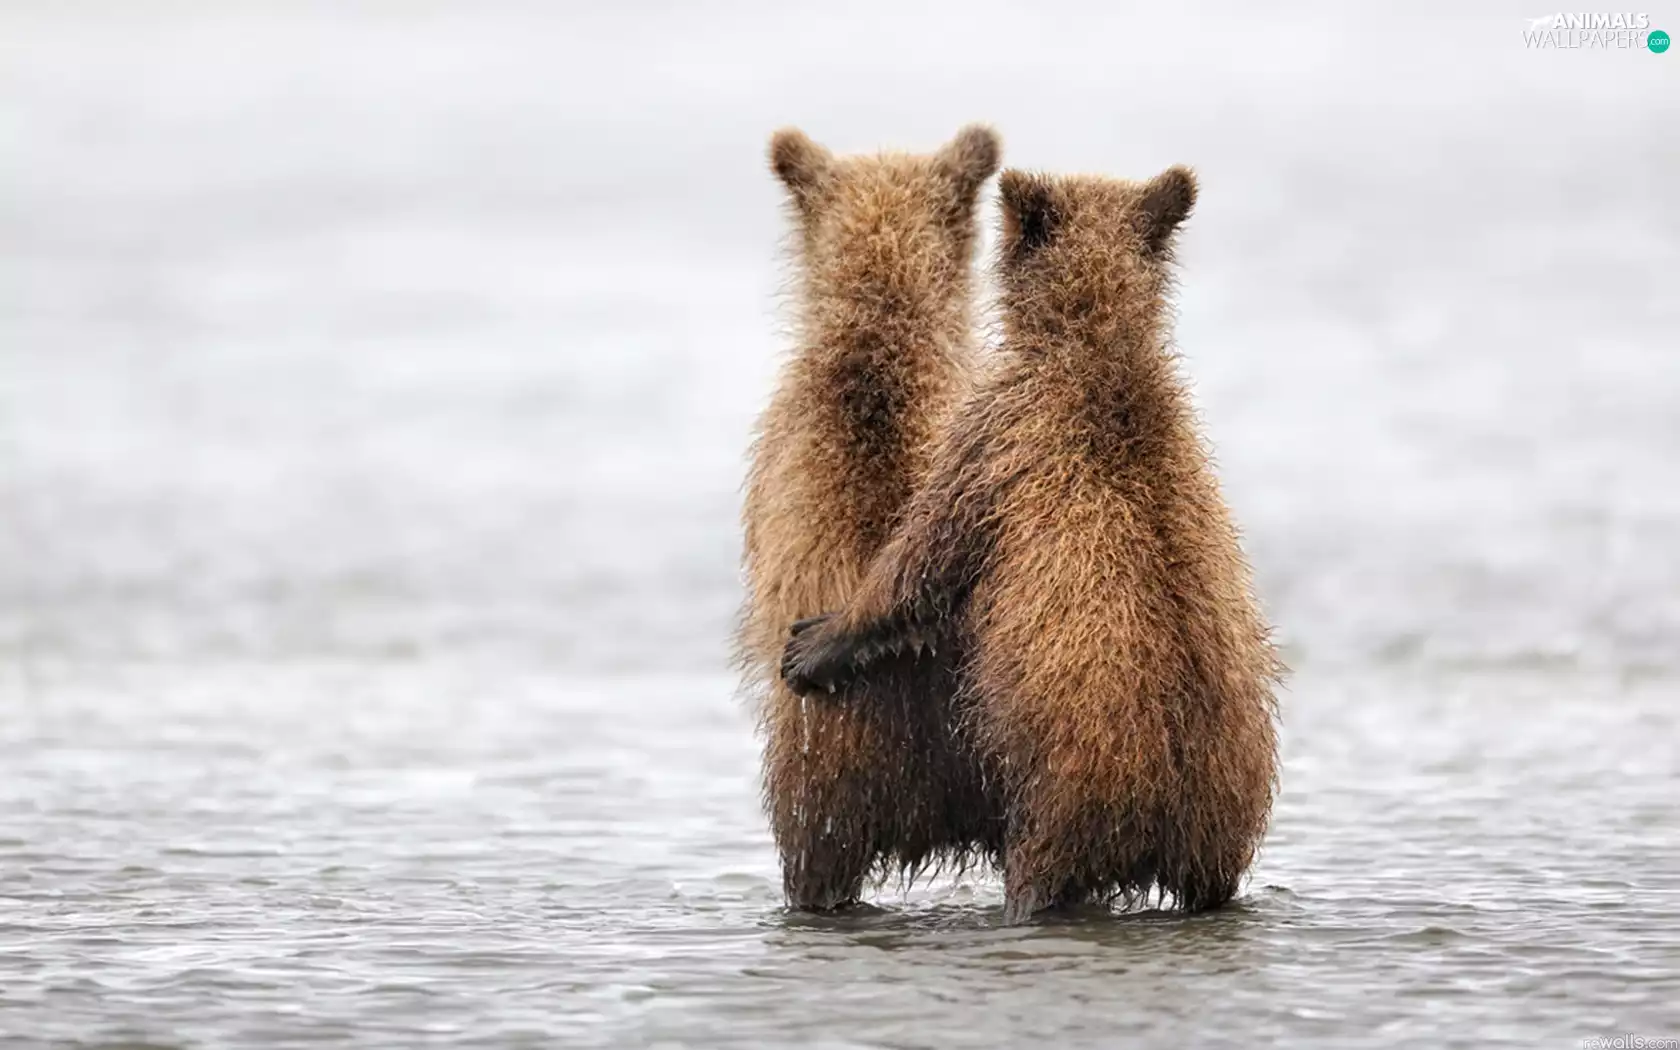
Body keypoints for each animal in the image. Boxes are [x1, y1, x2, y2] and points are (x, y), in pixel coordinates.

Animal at [780, 166, 1282, 923]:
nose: (803, 647)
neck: (1095, 345)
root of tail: (1176, 803)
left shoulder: (996, 437)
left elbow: (924, 561)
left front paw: (815, 641)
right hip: (1222, 821)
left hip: (1063, 796)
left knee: (1037, 875)